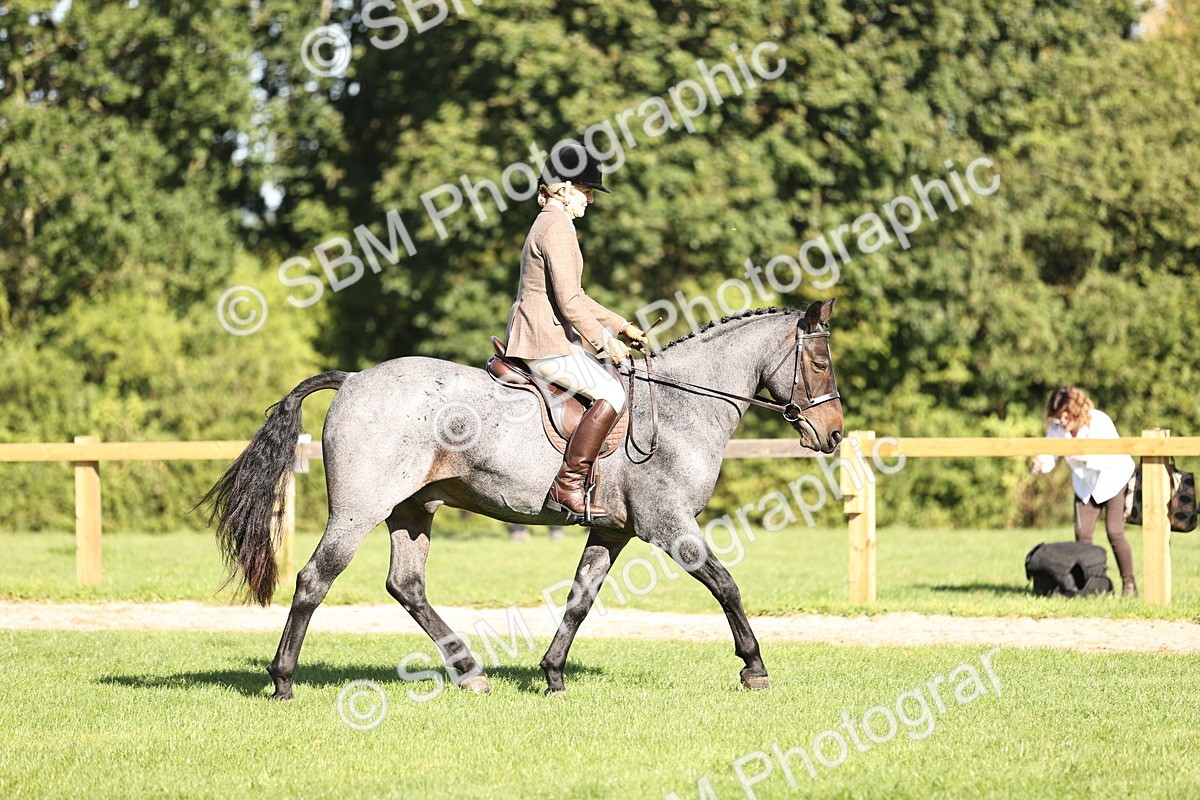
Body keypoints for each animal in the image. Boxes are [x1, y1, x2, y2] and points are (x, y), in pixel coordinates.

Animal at [202, 300, 844, 699]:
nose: (834, 434)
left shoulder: (610, 530)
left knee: (406, 586)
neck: (682, 406)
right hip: (360, 510)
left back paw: (470, 672)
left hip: (414, 510)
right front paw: (754, 667)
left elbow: (580, 601)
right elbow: (726, 584)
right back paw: (283, 680)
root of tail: (356, 378)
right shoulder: (669, 525)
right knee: (315, 579)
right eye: (819, 361)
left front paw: (553, 674)